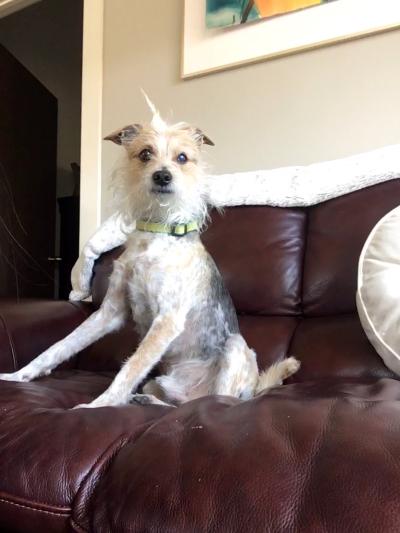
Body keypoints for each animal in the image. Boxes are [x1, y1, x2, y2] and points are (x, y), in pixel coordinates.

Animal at [0, 102, 300, 406]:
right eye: (145, 154)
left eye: (182, 157)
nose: (162, 176)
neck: (157, 233)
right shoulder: (110, 311)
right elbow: (60, 346)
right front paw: (18, 375)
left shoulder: (167, 319)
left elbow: (130, 368)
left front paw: (98, 405)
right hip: (157, 382)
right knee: (172, 404)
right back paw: (145, 400)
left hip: (236, 349)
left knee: (215, 400)